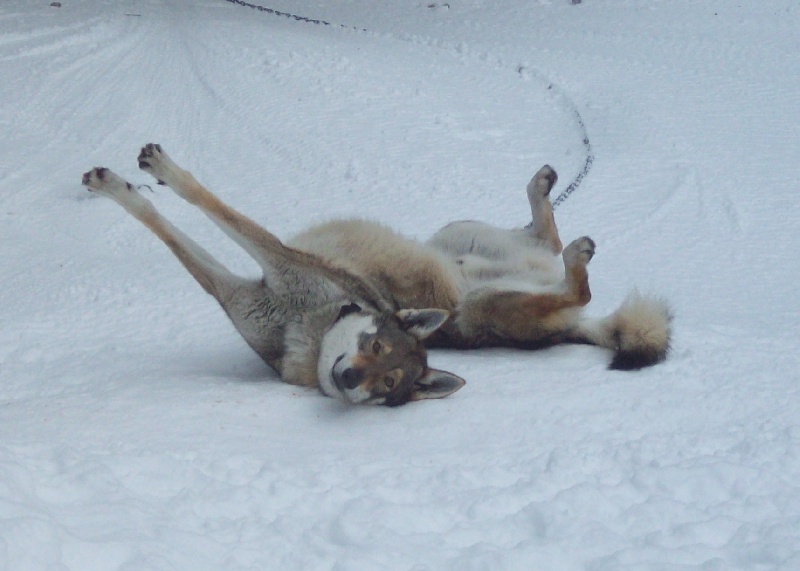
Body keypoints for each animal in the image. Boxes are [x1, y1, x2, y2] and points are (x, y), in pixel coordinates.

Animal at [82, 144, 671, 406]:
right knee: (543, 238)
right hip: (461, 234)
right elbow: (168, 217)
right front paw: (124, 182)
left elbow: (206, 209)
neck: (307, 328)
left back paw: (576, 257)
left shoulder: (271, 261)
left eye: (387, 383)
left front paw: (155, 175)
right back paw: (548, 194)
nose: (347, 380)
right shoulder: (244, 285)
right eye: (378, 347)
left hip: (490, 305)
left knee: (578, 287)